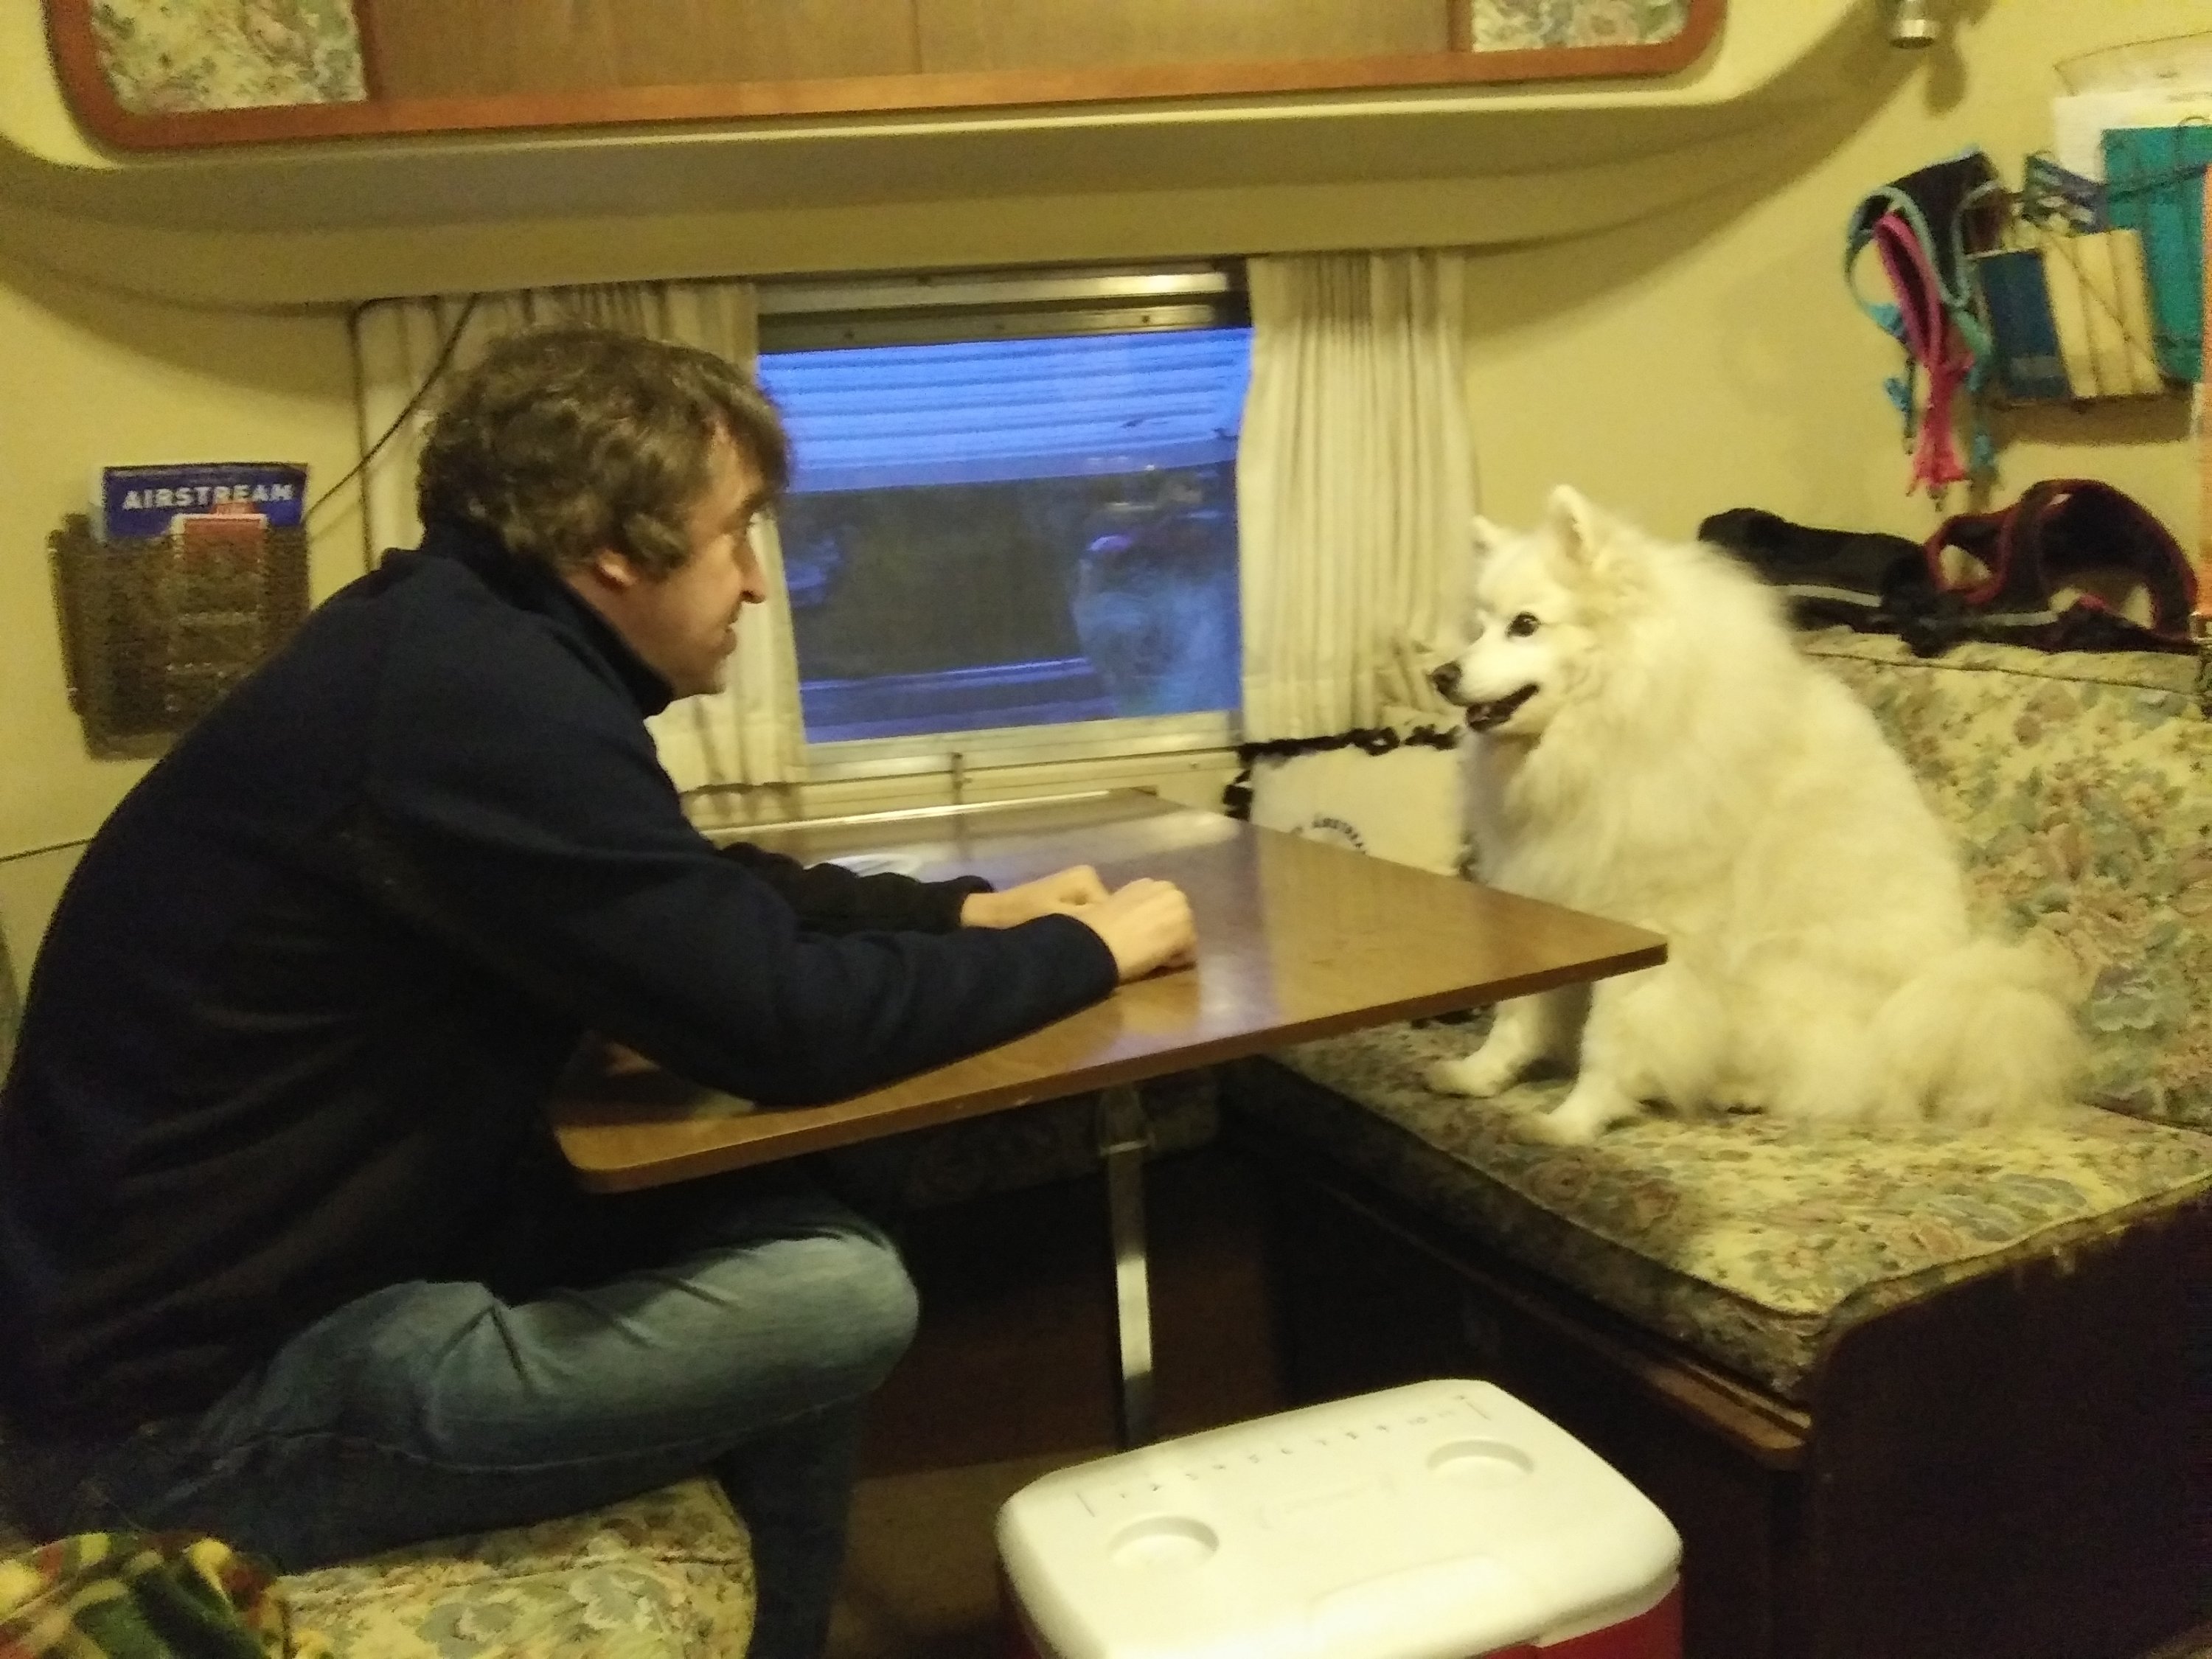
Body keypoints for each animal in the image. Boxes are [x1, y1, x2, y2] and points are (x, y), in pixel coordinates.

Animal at [1423, 486, 2083, 1143]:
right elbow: (1518, 1012)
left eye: (1525, 626)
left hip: (1786, 981)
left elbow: (1611, 1038)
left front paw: (1572, 1121)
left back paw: (1742, 1090)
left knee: (1838, 1083)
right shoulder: (1549, 898)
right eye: (1478, 628)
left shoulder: (1655, 927)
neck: (1617, 721)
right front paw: (1480, 1075)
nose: (1440, 675)